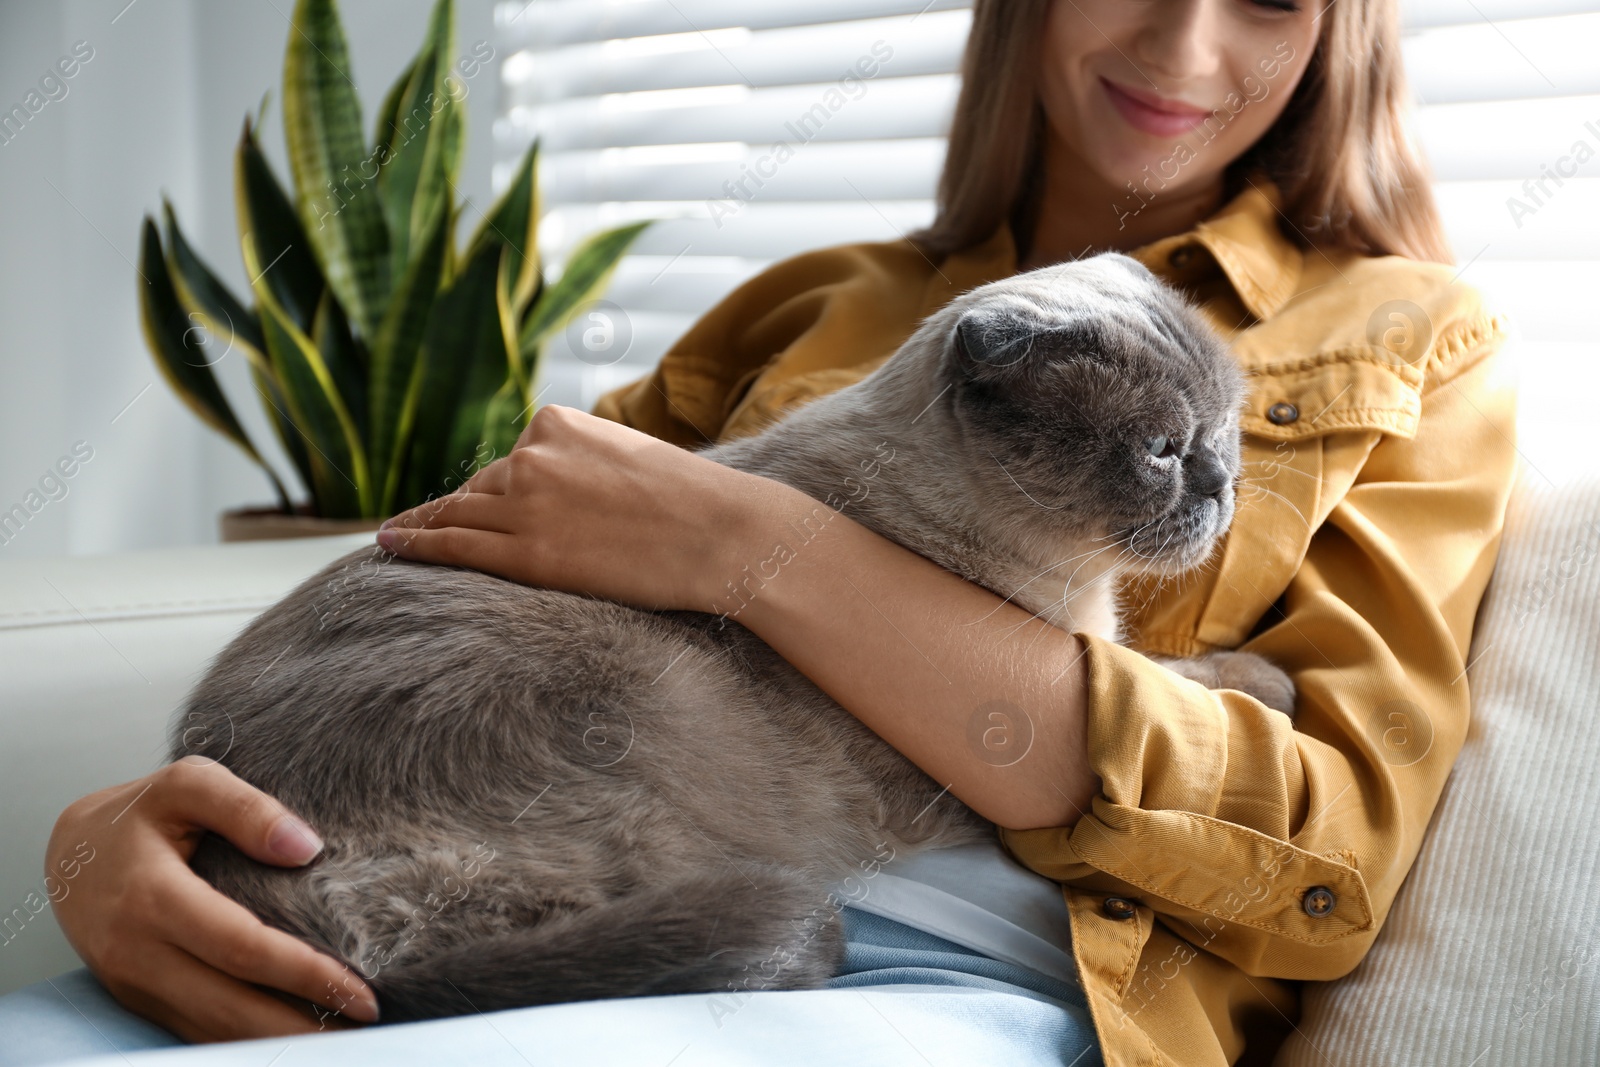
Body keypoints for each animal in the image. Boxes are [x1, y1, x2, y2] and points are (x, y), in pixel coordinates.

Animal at [175, 252, 1292, 1023]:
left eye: (1224, 436)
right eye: (1161, 449)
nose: (1222, 486)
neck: (1072, 584)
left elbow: (1163, 676)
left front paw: (1259, 680)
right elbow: (1169, 675)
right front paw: (1268, 682)